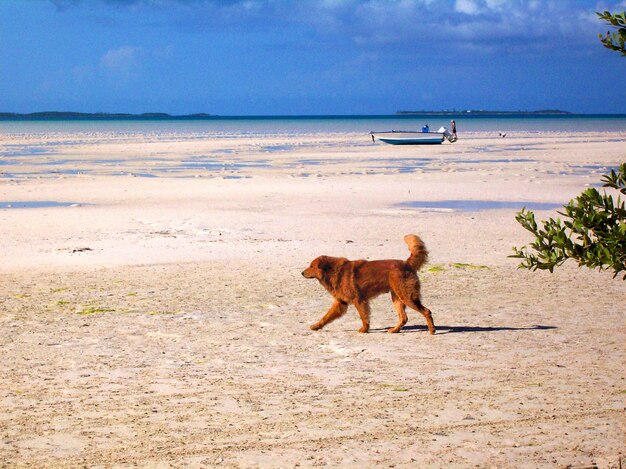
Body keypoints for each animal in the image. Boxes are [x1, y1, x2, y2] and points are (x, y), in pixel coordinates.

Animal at [302, 234, 434, 332]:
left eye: (311, 266)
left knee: (426, 311)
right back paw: (394, 330)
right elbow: (326, 317)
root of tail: (407, 263)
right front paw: (316, 326)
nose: (302, 273)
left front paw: (364, 329)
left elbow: (364, 316)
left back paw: (432, 330)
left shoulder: (359, 300)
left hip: (407, 296)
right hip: (398, 298)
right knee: (404, 318)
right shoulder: (341, 303)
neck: (333, 272)